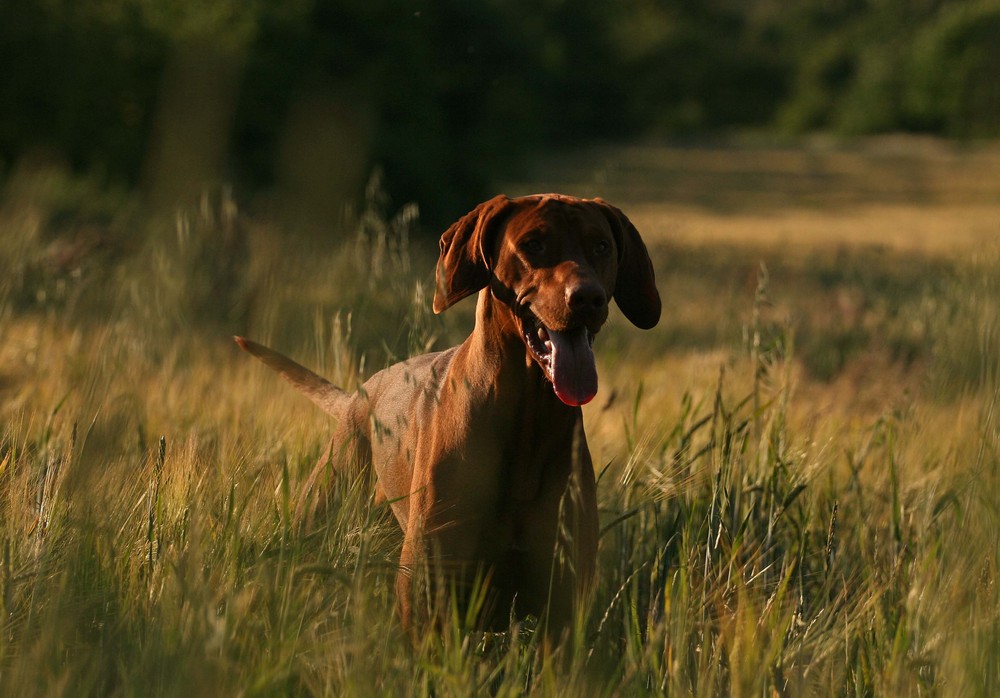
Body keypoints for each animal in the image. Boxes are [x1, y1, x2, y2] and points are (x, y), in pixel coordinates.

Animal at [231, 193, 660, 632]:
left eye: (602, 246)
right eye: (533, 244)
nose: (587, 298)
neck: (526, 414)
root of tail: (359, 395)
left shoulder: (562, 604)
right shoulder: (427, 589)